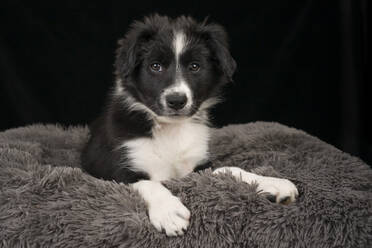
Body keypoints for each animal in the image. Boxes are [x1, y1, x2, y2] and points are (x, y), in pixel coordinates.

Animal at [82, 15, 300, 236]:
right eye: (155, 66)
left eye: (195, 67)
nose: (176, 100)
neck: (171, 129)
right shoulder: (116, 170)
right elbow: (148, 183)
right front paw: (169, 212)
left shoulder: (198, 168)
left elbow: (229, 169)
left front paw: (272, 182)